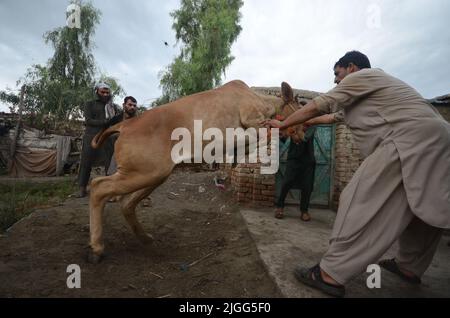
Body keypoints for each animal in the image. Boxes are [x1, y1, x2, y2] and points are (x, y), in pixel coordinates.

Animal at [87, 78, 302, 262]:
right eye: (300, 105)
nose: (303, 135)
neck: (262, 101)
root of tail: (125, 125)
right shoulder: (250, 124)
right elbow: (262, 134)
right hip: (145, 173)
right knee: (98, 187)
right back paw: (97, 247)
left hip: (153, 175)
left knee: (126, 203)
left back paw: (145, 238)